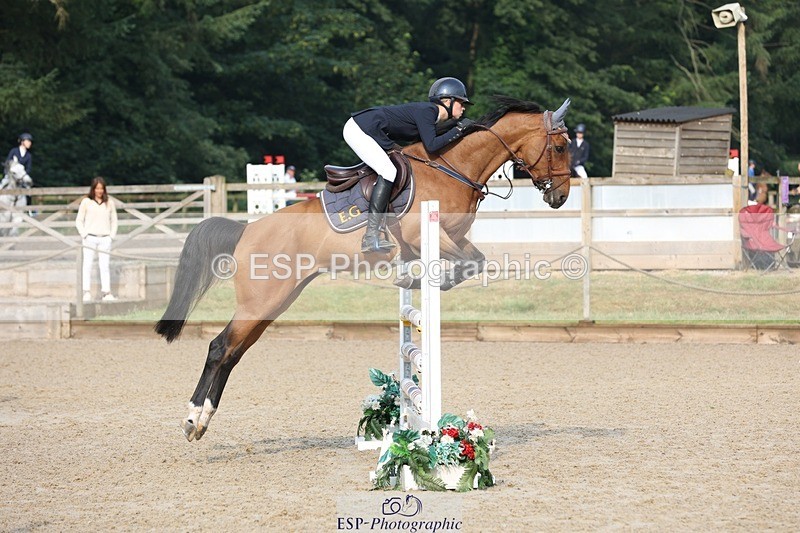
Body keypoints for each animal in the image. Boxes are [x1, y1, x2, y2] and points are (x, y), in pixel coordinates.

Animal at [155, 95, 573, 441]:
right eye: (560, 146)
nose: (560, 197)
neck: (453, 167)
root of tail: (247, 230)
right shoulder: (426, 234)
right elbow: (466, 262)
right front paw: (435, 280)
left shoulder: (451, 237)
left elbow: (476, 261)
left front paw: (428, 279)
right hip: (261, 301)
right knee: (219, 347)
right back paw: (192, 419)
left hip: (274, 302)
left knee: (233, 352)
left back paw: (202, 420)